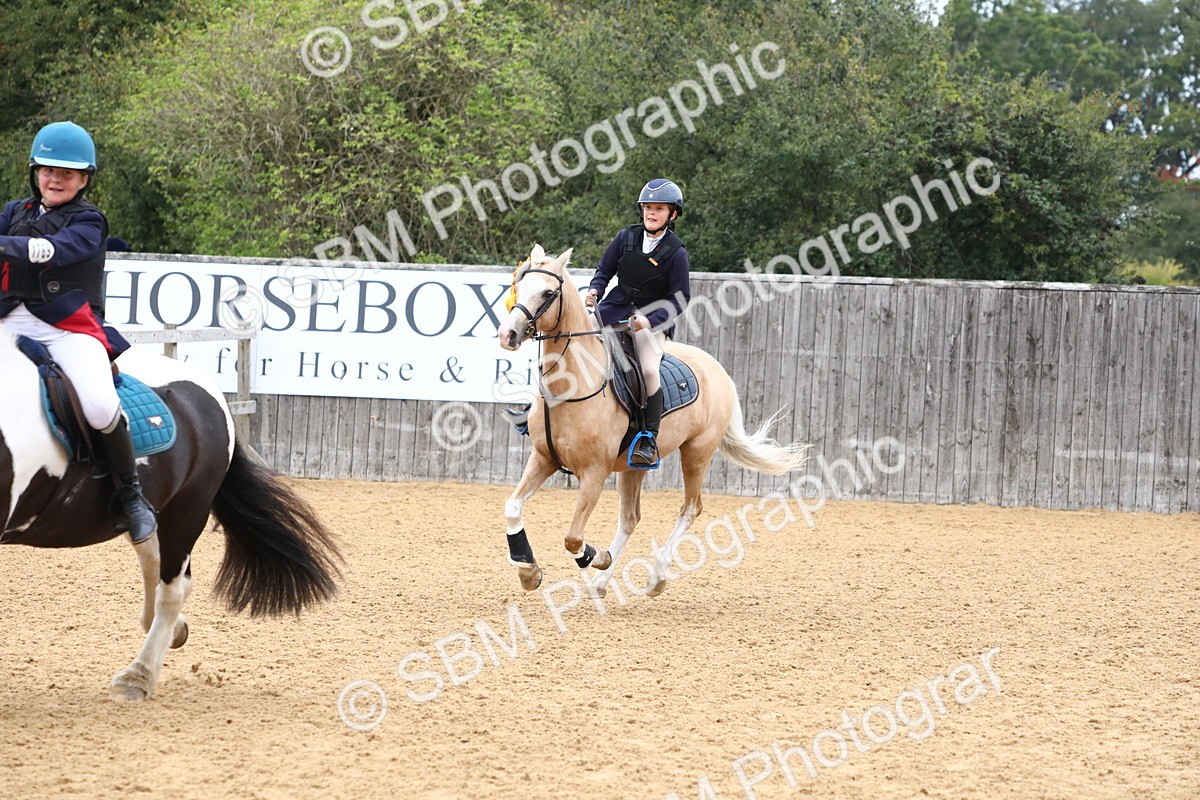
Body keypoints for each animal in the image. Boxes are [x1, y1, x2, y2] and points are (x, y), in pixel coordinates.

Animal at [0, 329, 341, 701]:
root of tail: (212, 393)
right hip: (151, 510)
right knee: (154, 559)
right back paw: (171, 631)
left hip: (187, 511)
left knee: (172, 587)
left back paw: (139, 676)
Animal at [496, 244, 808, 596]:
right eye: (518, 287)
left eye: (548, 293)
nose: (507, 334)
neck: (573, 383)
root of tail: (718, 370)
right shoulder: (544, 458)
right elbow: (512, 508)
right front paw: (528, 569)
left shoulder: (594, 472)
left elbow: (573, 538)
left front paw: (595, 557)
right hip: (633, 466)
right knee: (630, 518)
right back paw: (602, 582)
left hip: (697, 452)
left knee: (691, 508)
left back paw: (656, 576)